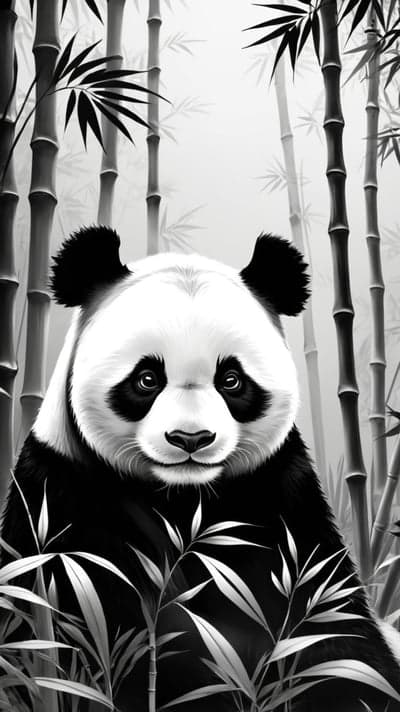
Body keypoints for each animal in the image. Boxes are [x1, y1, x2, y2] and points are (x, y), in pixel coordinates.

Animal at [2, 225, 400, 712]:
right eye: (147, 379)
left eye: (231, 379)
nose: (190, 438)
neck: (182, 498)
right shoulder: (61, 501)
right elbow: (84, 626)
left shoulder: (281, 499)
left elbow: (330, 625)